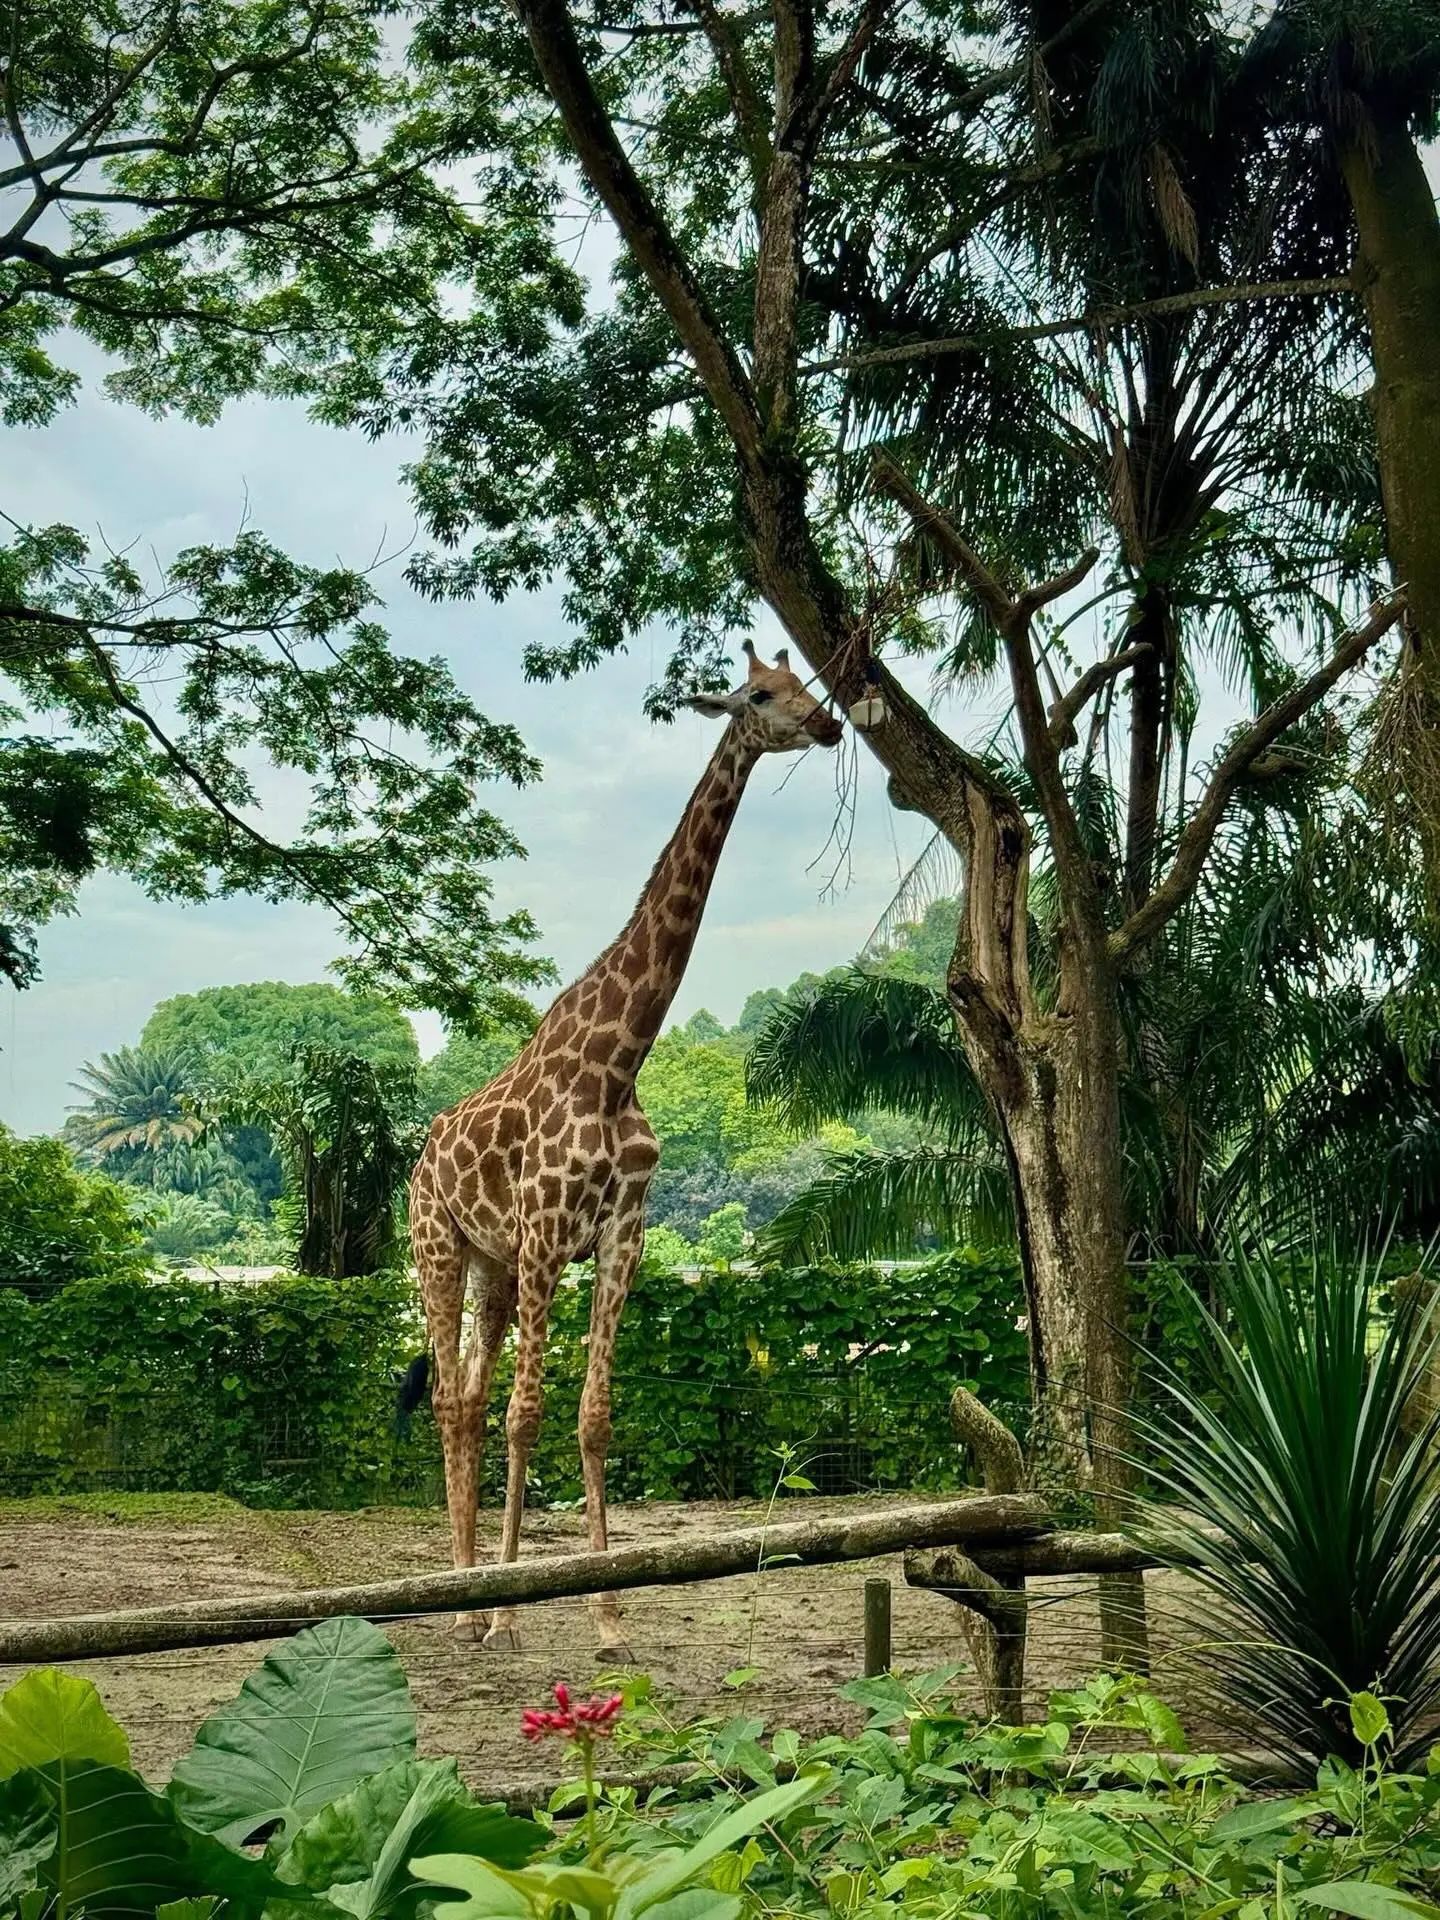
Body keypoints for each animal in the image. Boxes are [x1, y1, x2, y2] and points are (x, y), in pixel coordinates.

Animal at [409, 645, 843, 1654]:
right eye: (761, 695)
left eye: (806, 685)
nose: (830, 723)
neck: (619, 1060)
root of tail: (420, 1154)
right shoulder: (544, 1234)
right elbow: (530, 1414)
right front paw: (513, 1606)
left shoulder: (621, 1236)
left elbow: (595, 1417)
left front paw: (606, 1613)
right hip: (439, 1248)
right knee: (452, 1399)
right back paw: (466, 1600)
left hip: (490, 1266)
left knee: (470, 1401)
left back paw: (475, 1591)